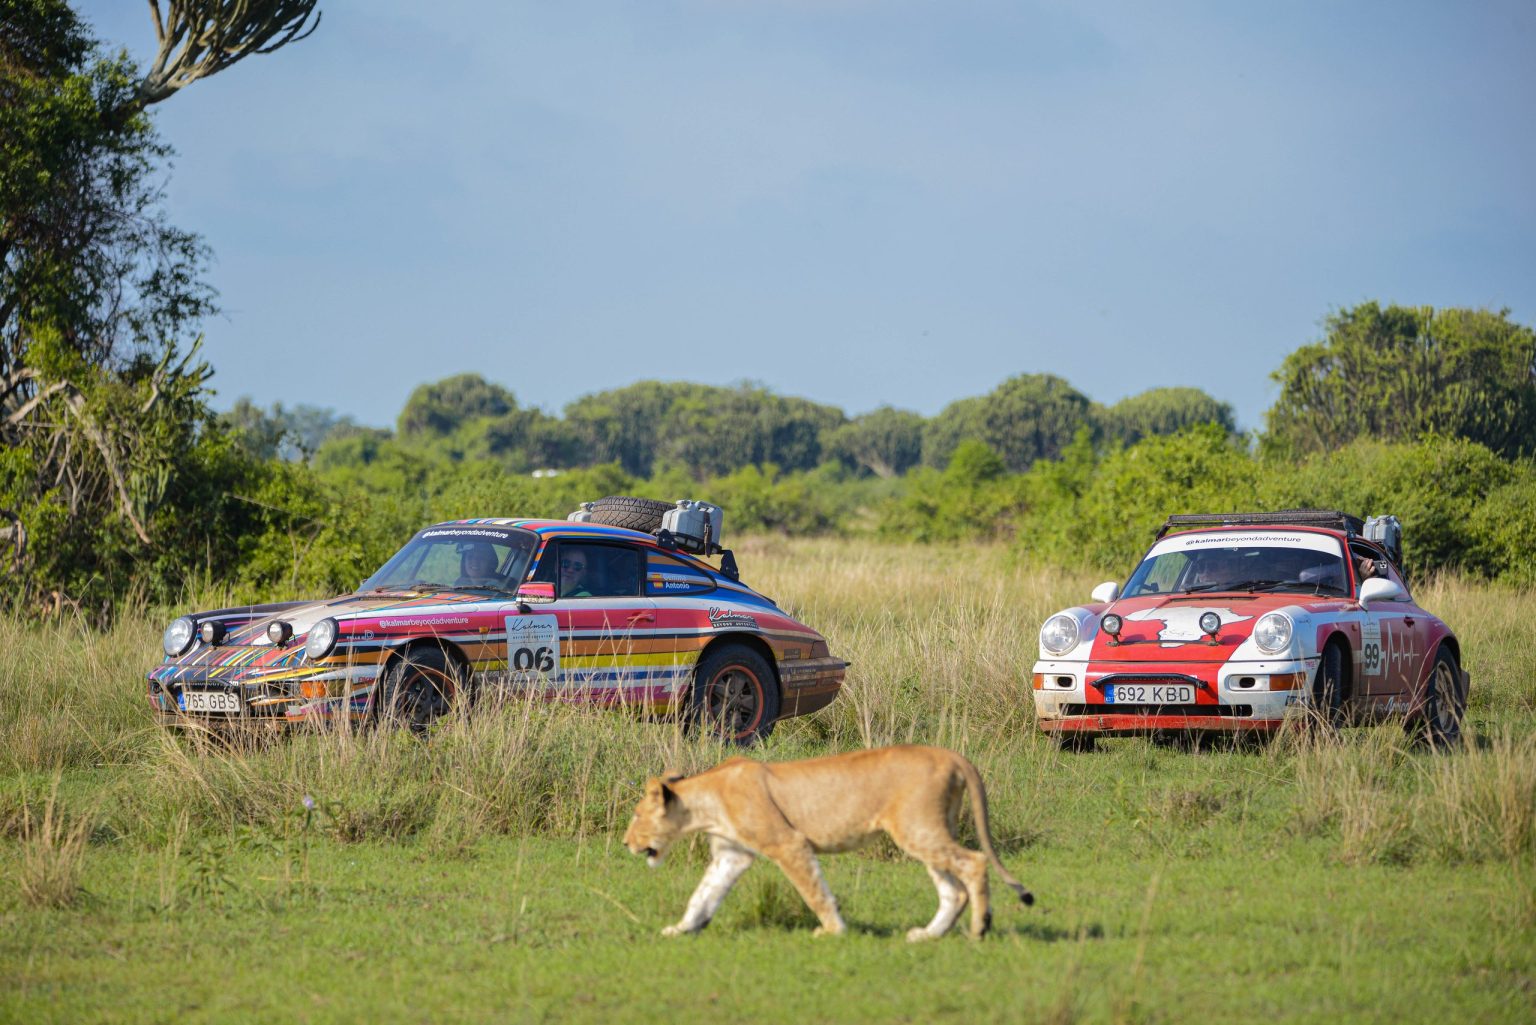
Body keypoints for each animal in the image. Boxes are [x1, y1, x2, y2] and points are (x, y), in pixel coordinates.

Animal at [622, 744, 1034, 941]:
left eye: (637, 816)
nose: (626, 844)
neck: (704, 800)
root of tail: (950, 754)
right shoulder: (732, 855)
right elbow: (704, 895)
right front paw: (682, 929)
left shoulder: (788, 843)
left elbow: (814, 891)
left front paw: (833, 930)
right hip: (927, 829)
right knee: (953, 889)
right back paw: (928, 935)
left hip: (917, 828)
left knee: (974, 863)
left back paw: (979, 929)